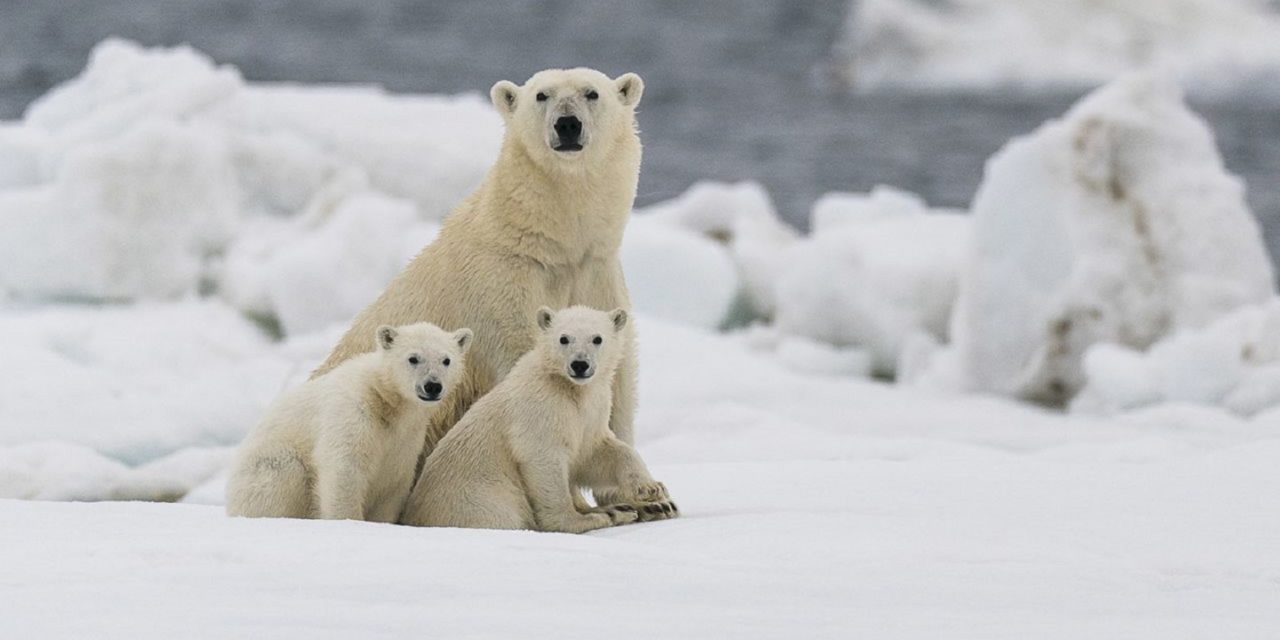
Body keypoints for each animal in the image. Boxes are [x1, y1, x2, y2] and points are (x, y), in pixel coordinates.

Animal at [311, 67, 650, 501]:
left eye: (592, 93)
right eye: (542, 95)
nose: (567, 124)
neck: (550, 245)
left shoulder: (596, 273)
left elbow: (618, 377)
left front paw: (636, 492)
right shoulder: (503, 288)